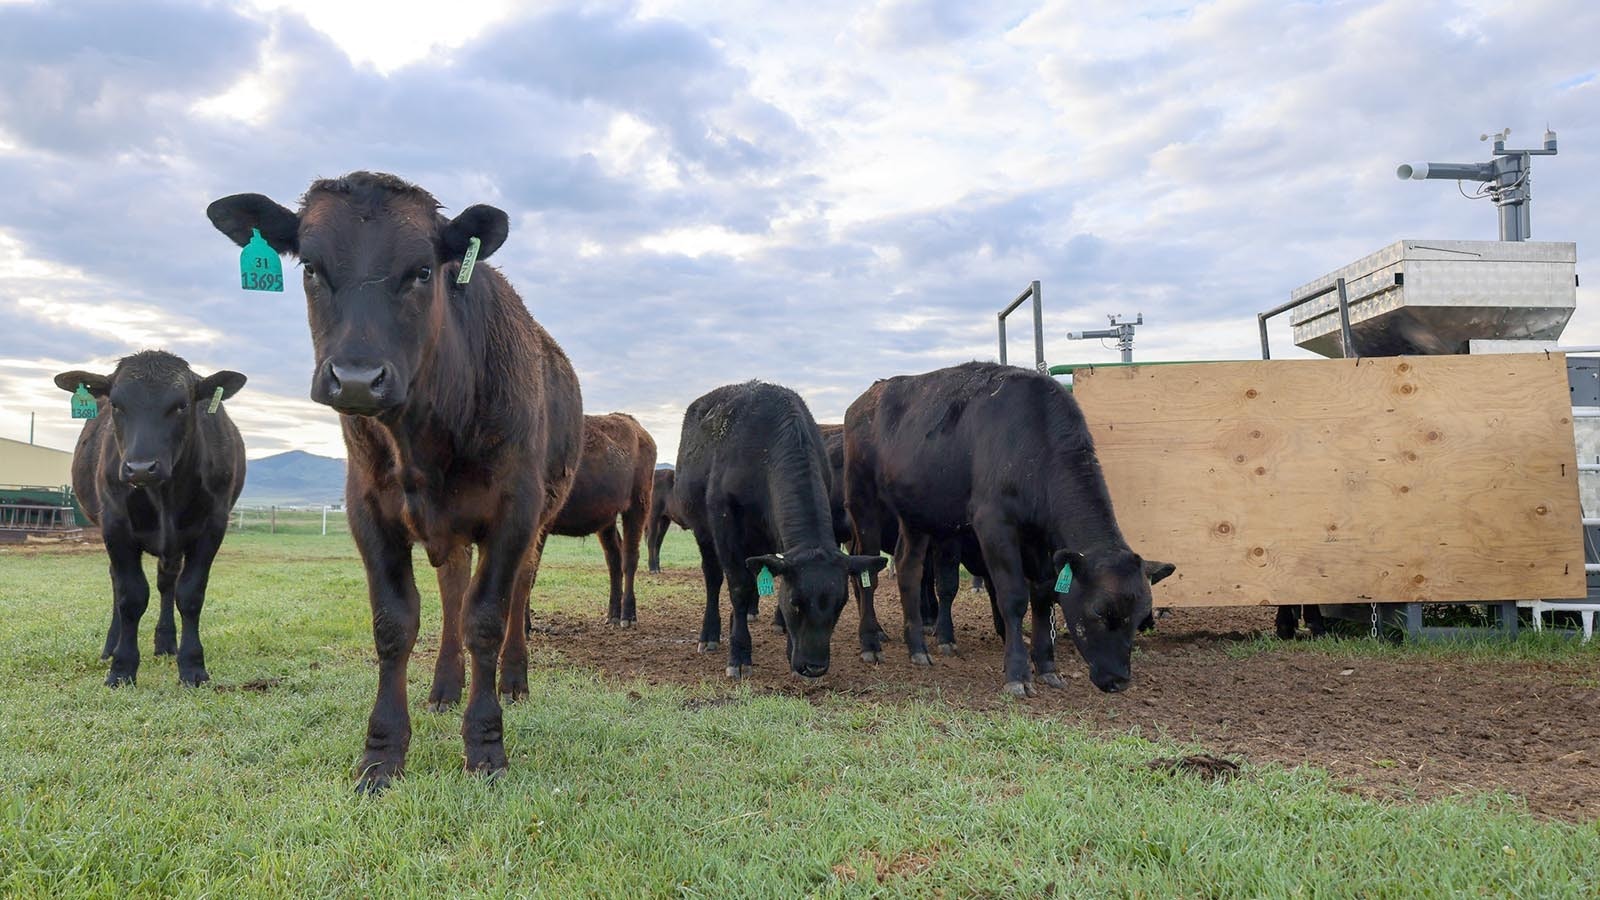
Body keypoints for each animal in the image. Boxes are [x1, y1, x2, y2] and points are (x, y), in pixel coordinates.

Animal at [54, 350, 246, 685]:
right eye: (116, 404)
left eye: (182, 404)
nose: (141, 468)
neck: (164, 495)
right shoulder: (115, 526)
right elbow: (131, 596)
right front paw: (122, 667)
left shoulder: (212, 526)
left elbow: (190, 594)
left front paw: (192, 666)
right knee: (117, 582)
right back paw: (111, 646)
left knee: (166, 582)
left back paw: (166, 641)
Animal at [206, 171, 582, 787]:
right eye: (310, 268)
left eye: (423, 270)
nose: (357, 378)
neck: (424, 438)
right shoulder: (368, 511)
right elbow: (394, 624)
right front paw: (382, 753)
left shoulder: (515, 511)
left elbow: (487, 619)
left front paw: (485, 746)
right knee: (453, 589)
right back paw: (445, 686)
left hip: (540, 518)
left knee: (514, 594)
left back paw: (513, 679)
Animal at [668, 374, 883, 675]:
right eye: (796, 603)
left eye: (840, 604)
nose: (814, 667)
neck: (764, 450)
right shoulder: (725, 523)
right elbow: (738, 586)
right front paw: (739, 655)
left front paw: (788, 649)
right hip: (703, 531)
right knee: (714, 577)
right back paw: (710, 634)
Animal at [838, 358, 1177, 695]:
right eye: (1099, 611)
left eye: (1141, 617)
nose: (1118, 680)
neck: (1033, 442)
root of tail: (867, 397)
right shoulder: (994, 524)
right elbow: (1013, 597)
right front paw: (1018, 673)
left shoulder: (1038, 537)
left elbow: (1043, 594)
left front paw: (1047, 667)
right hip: (863, 500)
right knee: (868, 572)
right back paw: (871, 642)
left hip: (916, 514)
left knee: (908, 568)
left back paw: (917, 648)